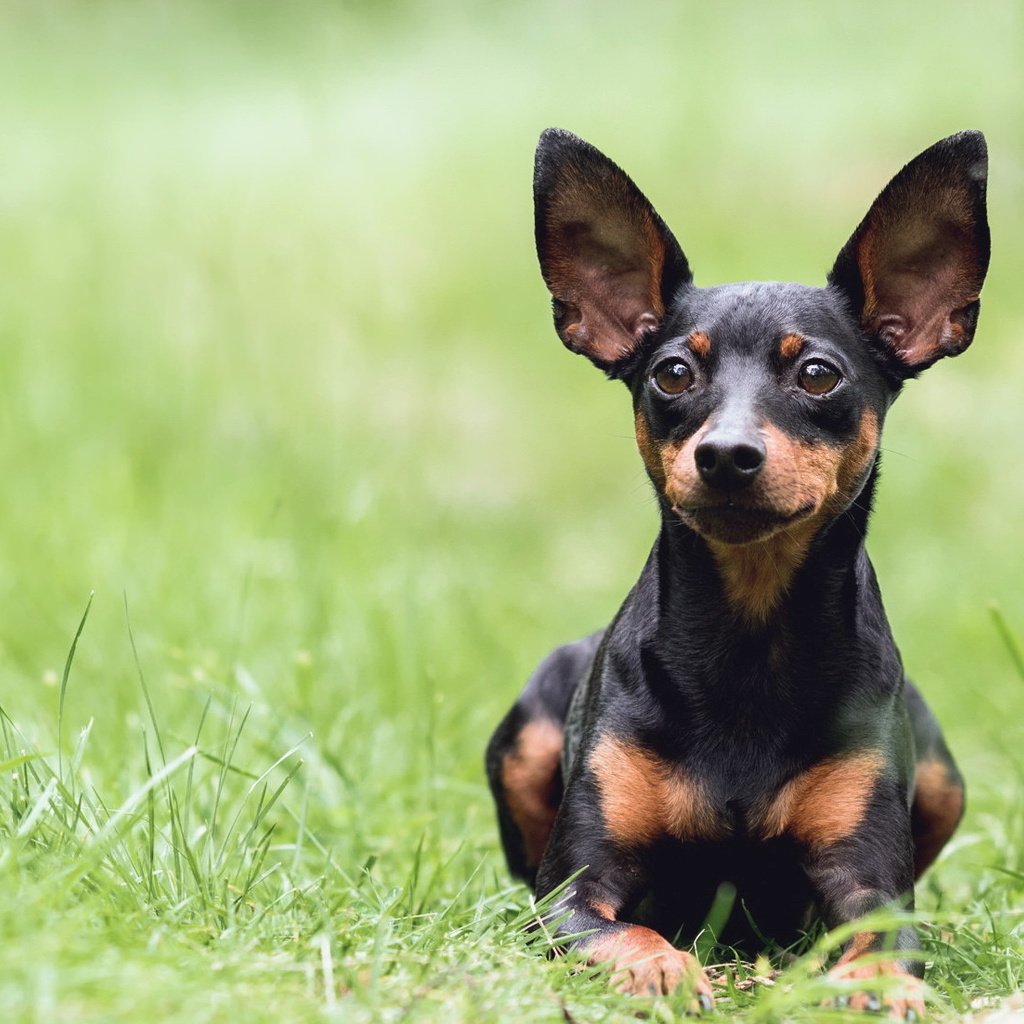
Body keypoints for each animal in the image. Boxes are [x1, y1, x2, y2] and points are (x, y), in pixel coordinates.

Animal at [483, 128, 987, 1015]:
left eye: (818, 373)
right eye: (672, 373)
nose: (725, 454)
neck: (749, 634)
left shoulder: (869, 888)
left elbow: (883, 942)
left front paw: (880, 987)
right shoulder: (570, 893)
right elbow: (618, 929)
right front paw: (660, 966)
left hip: (940, 779)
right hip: (524, 741)